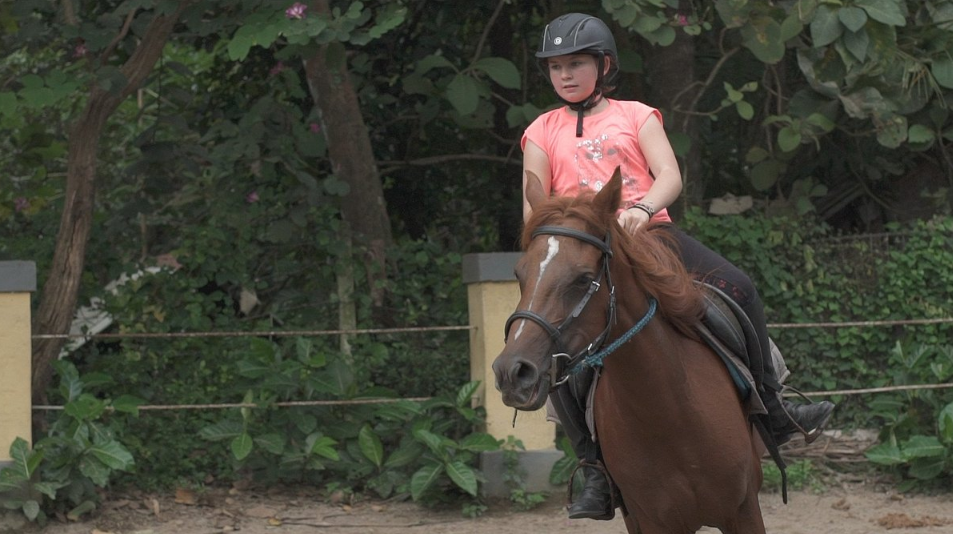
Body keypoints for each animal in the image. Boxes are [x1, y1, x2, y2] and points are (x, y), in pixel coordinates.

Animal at [491, 169, 765, 534]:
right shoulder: (651, 520)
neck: (671, 411)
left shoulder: (744, 510)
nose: (512, 372)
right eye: (519, 274)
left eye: (583, 279)